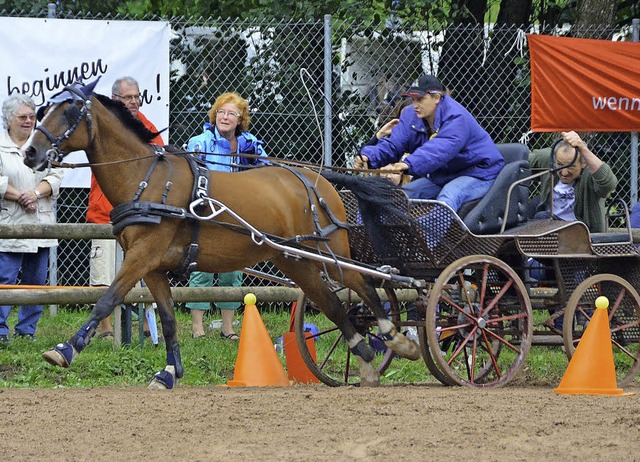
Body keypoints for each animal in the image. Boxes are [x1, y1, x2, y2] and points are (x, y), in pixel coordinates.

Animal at [23, 81, 420, 388]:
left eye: (71, 110)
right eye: (43, 109)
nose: (30, 152)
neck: (147, 178)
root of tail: (316, 177)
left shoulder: (142, 255)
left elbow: (107, 299)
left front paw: (65, 350)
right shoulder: (153, 265)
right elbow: (168, 318)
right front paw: (169, 372)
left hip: (329, 251)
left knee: (364, 284)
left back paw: (397, 339)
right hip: (295, 260)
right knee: (334, 305)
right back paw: (366, 361)